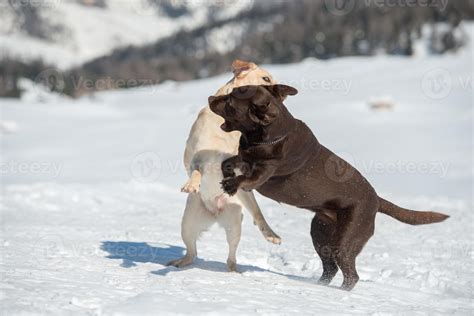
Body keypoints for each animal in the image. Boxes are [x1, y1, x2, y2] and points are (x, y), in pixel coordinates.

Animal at [209, 84, 450, 292]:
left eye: (230, 101)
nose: (211, 98)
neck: (267, 136)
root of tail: (376, 200)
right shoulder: (244, 157)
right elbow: (227, 162)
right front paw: (226, 174)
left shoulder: (264, 174)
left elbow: (246, 179)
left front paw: (230, 184)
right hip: (320, 233)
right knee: (331, 268)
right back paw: (320, 286)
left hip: (347, 238)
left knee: (351, 274)